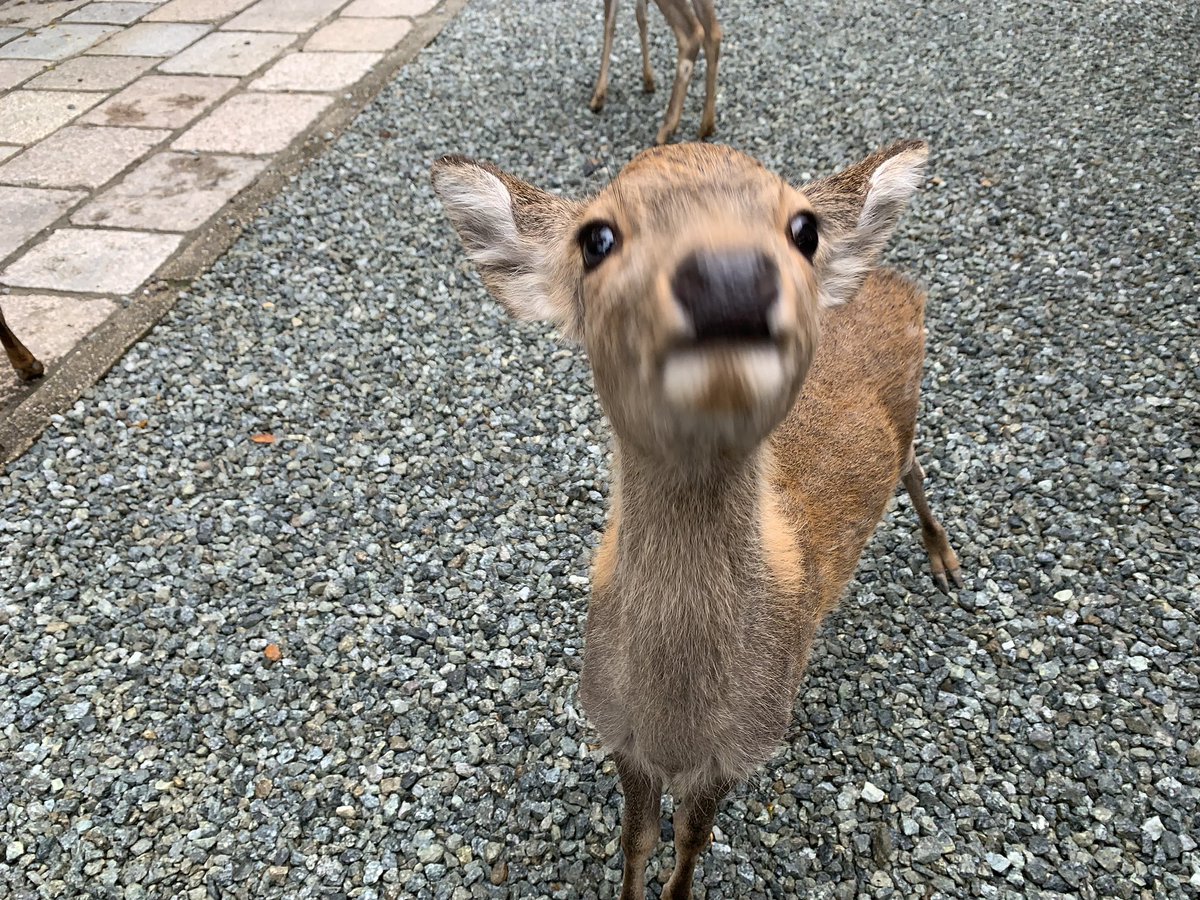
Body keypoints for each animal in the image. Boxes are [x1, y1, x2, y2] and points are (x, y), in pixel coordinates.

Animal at [431, 138, 963, 898]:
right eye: (596, 238)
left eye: (804, 229)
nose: (730, 277)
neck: (675, 721)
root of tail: (893, 280)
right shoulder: (616, 730)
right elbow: (636, 840)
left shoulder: (743, 745)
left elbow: (690, 840)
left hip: (913, 410)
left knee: (915, 469)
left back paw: (945, 560)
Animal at [589, 0, 722, 146]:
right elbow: (638, 15)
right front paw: (648, 80)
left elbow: (610, 21)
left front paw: (599, 95)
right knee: (714, 34)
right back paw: (707, 126)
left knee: (692, 34)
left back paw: (667, 128)